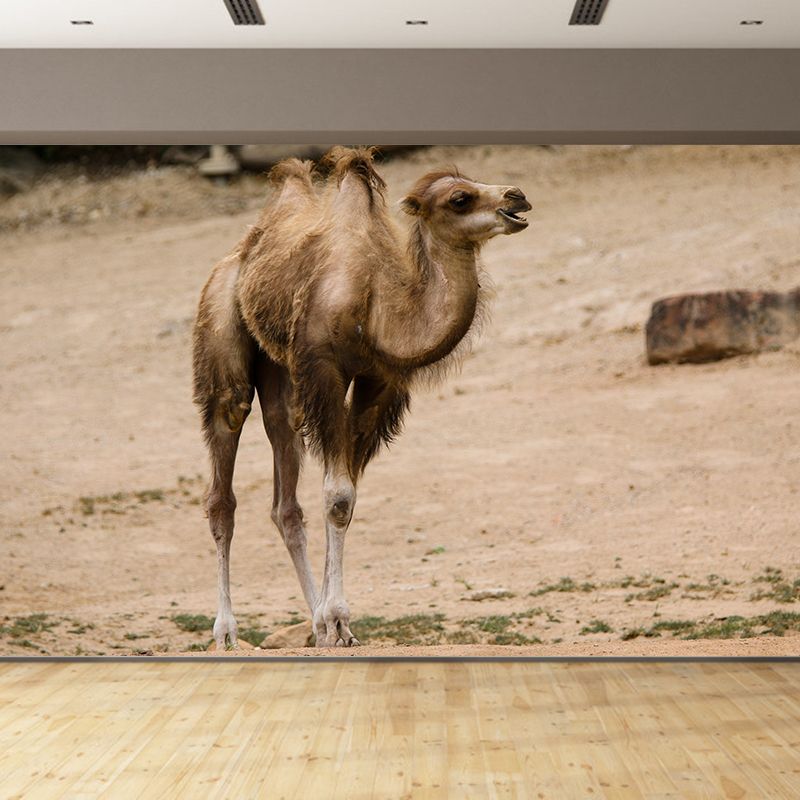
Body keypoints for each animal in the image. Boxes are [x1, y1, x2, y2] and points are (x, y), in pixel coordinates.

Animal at [192, 147, 531, 648]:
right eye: (460, 198)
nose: (517, 196)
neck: (376, 311)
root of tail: (240, 250)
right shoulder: (325, 372)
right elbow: (336, 495)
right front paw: (336, 619)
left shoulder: (378, 381)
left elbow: (345, 496)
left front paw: (334, 625)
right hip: (221, 329)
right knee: (223, 480)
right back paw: (226, 632)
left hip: (280, 372)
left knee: (284, 492)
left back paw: (310, 623)